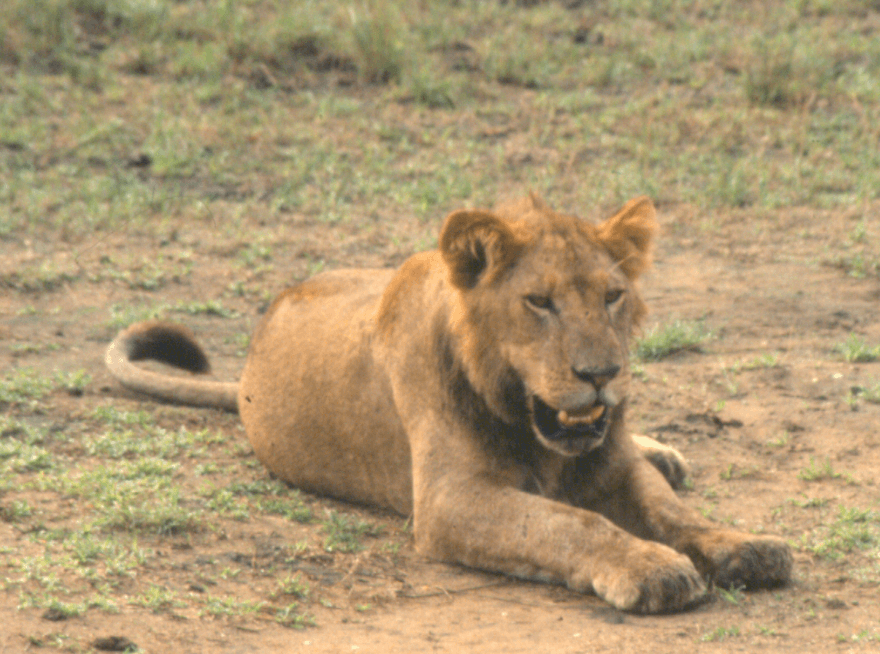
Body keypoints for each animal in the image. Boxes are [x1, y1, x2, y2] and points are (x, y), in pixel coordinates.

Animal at [106, 195, 792, 613]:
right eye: (539, 302)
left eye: (612, 296)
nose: (602, 374)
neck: (534, 430)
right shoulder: (448, 500)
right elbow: (569, 522)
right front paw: (652, 567)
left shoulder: (612, 462)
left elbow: (671, 510)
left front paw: (744, 545)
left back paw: (665, 453)